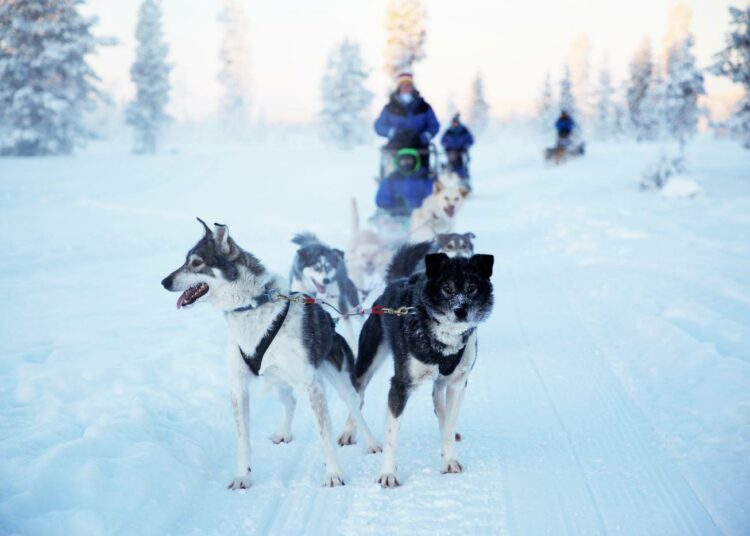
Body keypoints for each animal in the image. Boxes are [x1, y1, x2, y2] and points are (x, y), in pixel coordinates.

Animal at [161, 219, 378, 490]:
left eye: (197, 262)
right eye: (186, 260)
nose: (164, 281)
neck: (251, 307)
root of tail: (331, 319)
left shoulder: (312, 387)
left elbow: (324, 435)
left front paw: (334, 473)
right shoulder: (239, 387)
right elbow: (243, 440)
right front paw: (242, 476)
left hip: (339, 382)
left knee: (356, 408)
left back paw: (372, 443)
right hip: (277, 383)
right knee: (291, 401)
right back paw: (284, 432)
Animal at [356, 247, 496, 486]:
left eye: (471, 288)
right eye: (447, 288)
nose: (461, 310)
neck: (444, 339)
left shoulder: (457, 383)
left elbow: (449, 424)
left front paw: (449, 461)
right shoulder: (400, 385)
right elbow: (392, 435)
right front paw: (388, 474)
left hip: (440, 385)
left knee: (441, 411)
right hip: (367, 364)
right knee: (356, 397)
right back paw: (349, 433)